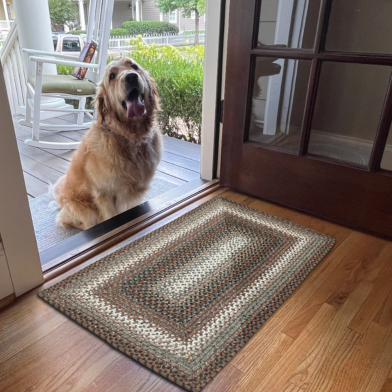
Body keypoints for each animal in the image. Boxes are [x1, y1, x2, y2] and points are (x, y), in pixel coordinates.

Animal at [51, 58, 162, 230]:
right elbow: (110, 217)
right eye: (112, 76)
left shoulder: (134, 194)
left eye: (134, 66)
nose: (131, 77)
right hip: (85, 211)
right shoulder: (104, 195)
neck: (131, 138)